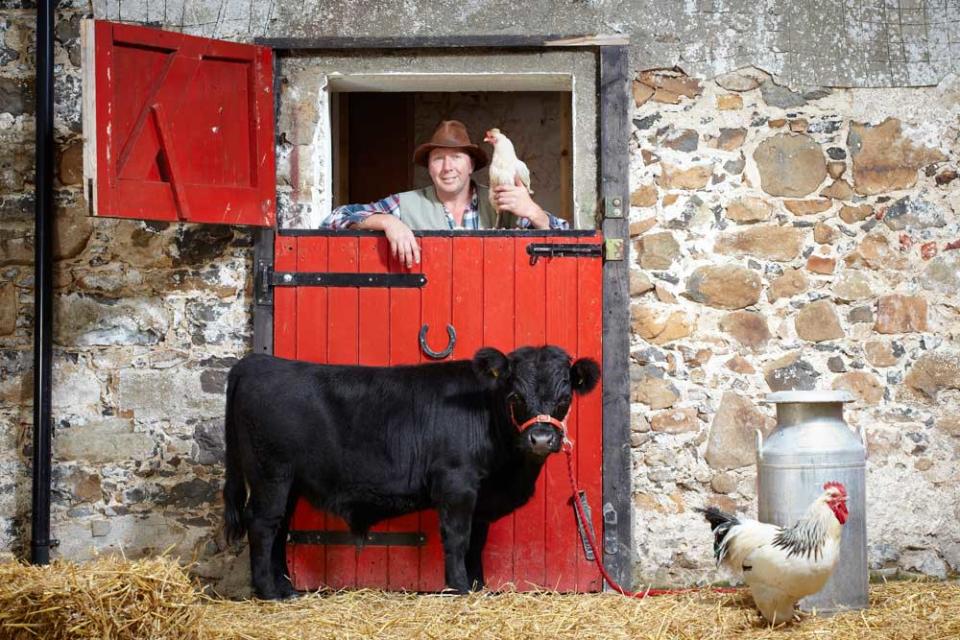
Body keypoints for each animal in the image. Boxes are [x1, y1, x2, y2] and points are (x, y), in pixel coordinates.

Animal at [225, 344, 600, 600]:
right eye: (515, 395)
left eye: (564, 397)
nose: (541, 438)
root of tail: (256, 362)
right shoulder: (456, 482)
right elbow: (457, 537)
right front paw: (459, 587)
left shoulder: (481, 498)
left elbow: (476, 541)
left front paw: (478, 586)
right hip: (271, 475)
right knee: (263, 524)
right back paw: (268, 591)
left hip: (289, 482)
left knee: (279, 528)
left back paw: (286, 588)